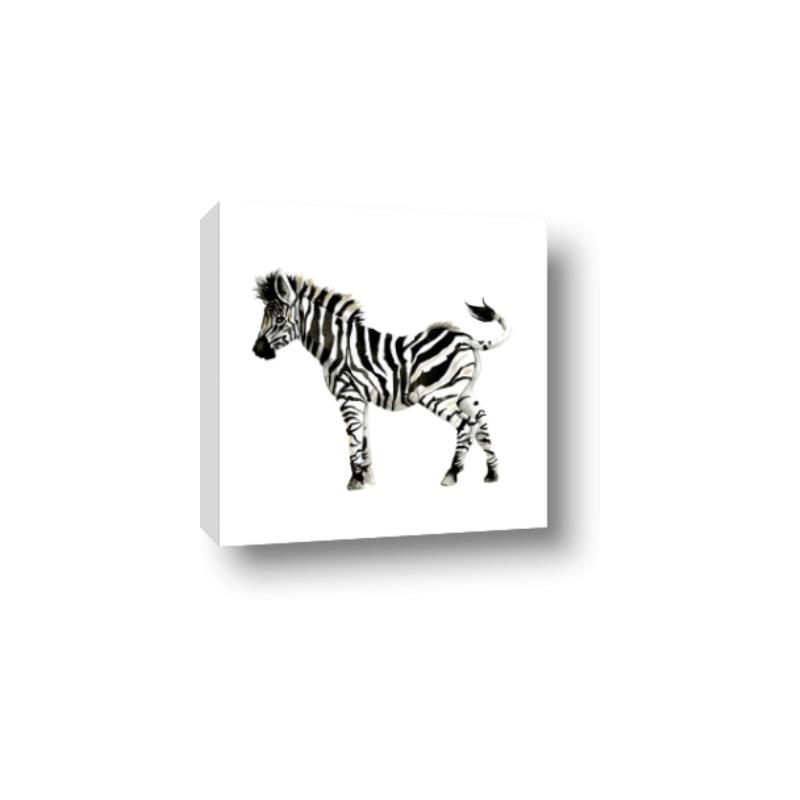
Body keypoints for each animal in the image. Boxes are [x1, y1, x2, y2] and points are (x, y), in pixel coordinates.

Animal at [252, 270, 510, 490]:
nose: (257, 350)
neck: (337, 346)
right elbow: (364, 438)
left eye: (279, 319)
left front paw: (355, 479)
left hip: (438, 395)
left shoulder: (348, 396)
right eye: (265, 317)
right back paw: (492, 473)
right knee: (481, 421)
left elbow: (353, 436)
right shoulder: (361, 398)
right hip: (464, 392)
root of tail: (466, 338)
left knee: (466, 425)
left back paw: (452, 473)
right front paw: (368, 479)